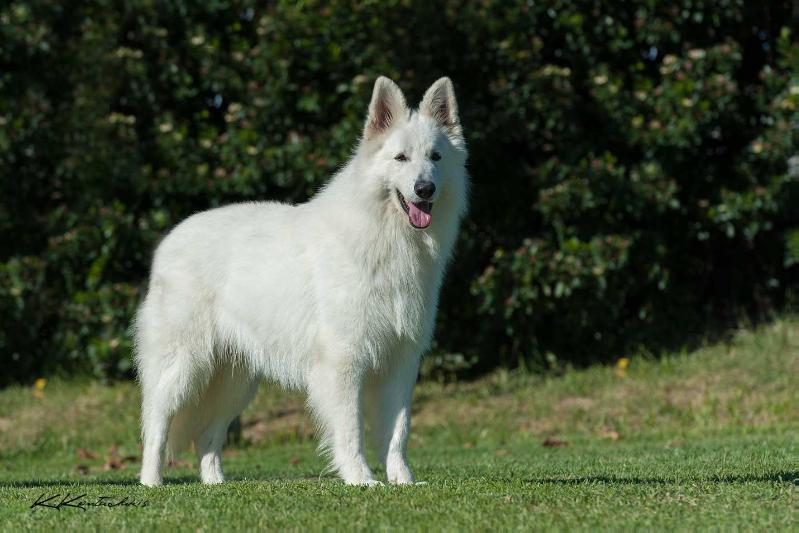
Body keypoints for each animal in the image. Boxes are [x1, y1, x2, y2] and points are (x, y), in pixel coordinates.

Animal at [133, 76, 468, 486]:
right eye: (400, 158)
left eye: (435, 157)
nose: (425, 189)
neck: (385, 236)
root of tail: (169, 240)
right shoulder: (344, 361)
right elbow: (350, 428)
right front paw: (361, 479)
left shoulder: (401, 362)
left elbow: (398, 431)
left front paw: (402, 480)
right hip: (184, 366)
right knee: (157, 425)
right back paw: (151, 482)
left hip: (235, 382)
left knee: (208, 436)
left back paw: (215, 483)